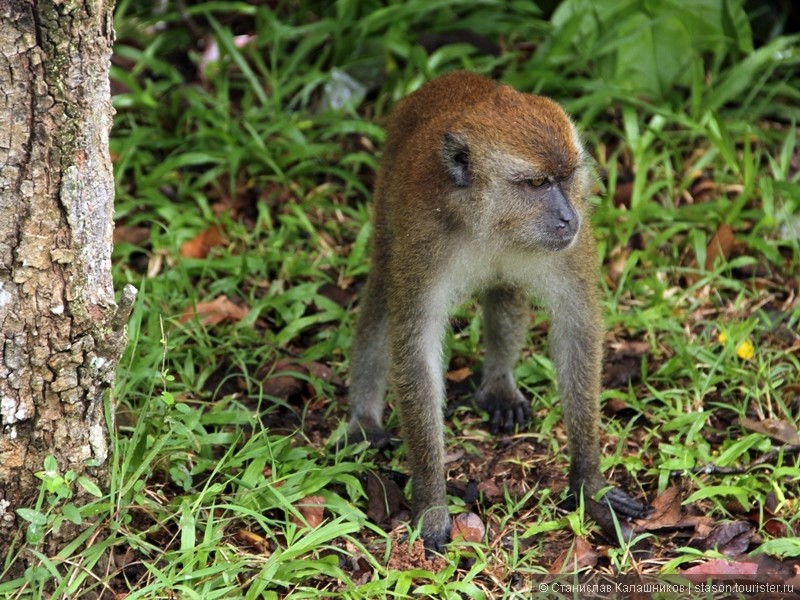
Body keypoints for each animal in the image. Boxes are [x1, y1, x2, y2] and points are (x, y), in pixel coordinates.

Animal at [342, 70, 648, 552]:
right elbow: (416, 348)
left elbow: (577, 326)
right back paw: (364, 419)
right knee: (380, 296)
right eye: (538, 184)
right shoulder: (422, 239)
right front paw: (432, 500)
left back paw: (499, 384)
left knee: (505, 292)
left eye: (566, 178)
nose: (569, 218)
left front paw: (588, 482)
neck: (490, 222)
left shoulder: (570, 247)